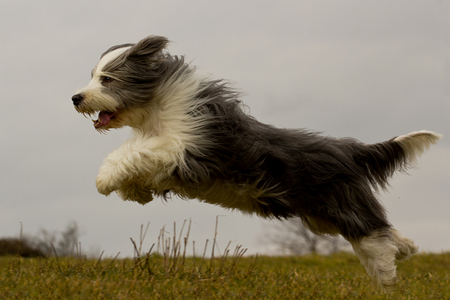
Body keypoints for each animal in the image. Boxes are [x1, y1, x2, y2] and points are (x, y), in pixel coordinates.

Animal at [72, 35, 442, 292]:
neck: (159, 108)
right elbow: (140, 160)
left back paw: (389, 280)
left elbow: (136, 150)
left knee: (375, 239)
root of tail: (346, 149)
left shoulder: (190, 147)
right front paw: (136, 192)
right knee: (381, 230)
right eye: (92, 76)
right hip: (323, 215)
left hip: (341, 203)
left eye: (107, 79)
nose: (76, 98)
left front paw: (105, 179)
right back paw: (407, 249)